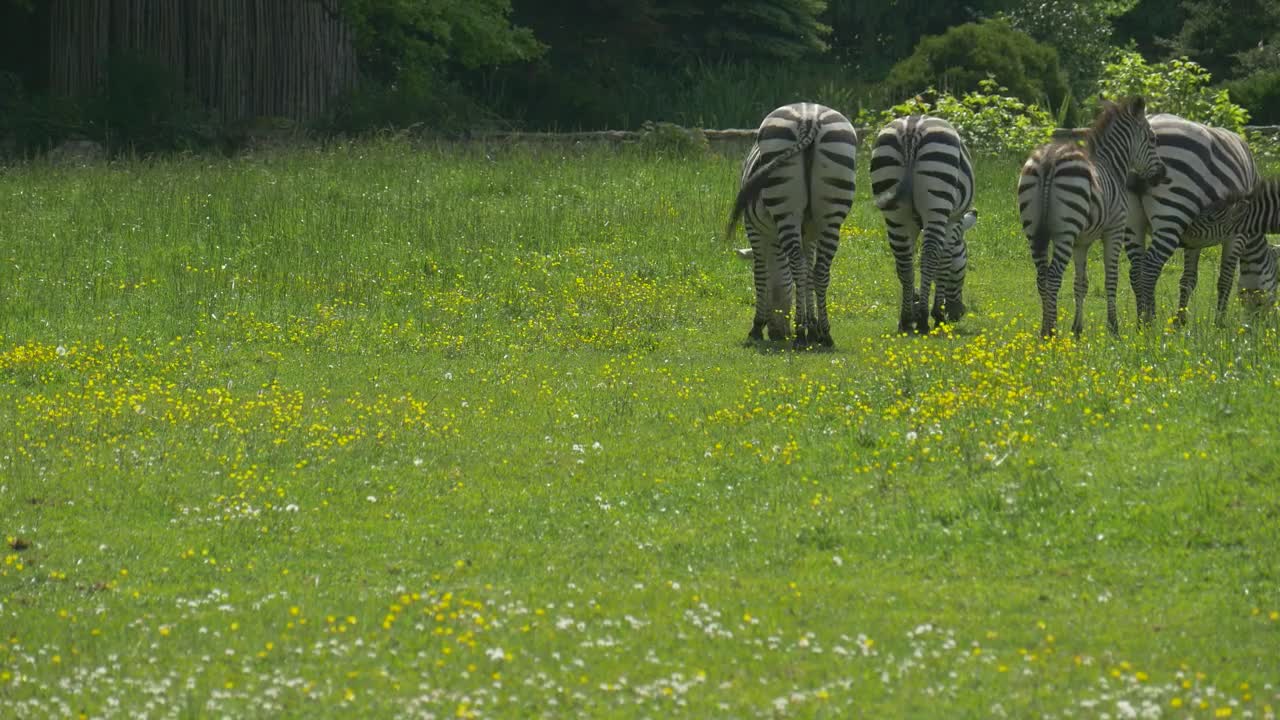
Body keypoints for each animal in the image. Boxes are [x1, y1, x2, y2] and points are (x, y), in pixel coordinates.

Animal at [727, 102, 855, 345]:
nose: (779, 333)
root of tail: (809, 117)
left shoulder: (753, 228)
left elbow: (761, 274)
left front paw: (757, 327)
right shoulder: (810, 233)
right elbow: (808, 274)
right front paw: (812, 326)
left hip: (785, 207)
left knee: (796, 264)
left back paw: (799, 334)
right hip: (832, 211)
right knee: (820, 270)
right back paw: (825, 334)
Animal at [870, 114, 977, 333]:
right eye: (965, 261)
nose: (958, 313)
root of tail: (912, 128)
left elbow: (909, 262)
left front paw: (914, 304)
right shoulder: (952, 222)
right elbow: (943, 261)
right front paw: (936, 313)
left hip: (894, 210)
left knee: (903, 261)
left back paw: (905, 320)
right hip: (938, 197)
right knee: (929, 256)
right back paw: (923, 320)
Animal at [1018, 96, 1172, 338]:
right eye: (1153, 139)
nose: (1162, 174)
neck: (1113, 166)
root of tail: (1050, 157)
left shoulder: (1081, 242)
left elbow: (1081, 283)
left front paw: (1077, 329)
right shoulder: (1115, 230)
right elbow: (1111, 279)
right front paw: (1113, 327)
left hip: (1033, 231)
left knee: (1042, 278)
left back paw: (1045, 330)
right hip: (1065, 231)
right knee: (1052, 278)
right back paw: (1052, 332)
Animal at [1126, 112, 1254, 322]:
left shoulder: (1193, 239)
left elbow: (1188, 279)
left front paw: (1180, 320)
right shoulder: (1238, 234)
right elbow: (1226, 279)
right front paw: (1220, 323)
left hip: (1132, 219)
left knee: (1136, 269)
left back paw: (1139, 322)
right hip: (1173, 210)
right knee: (1150, 266)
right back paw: (1150, 322)